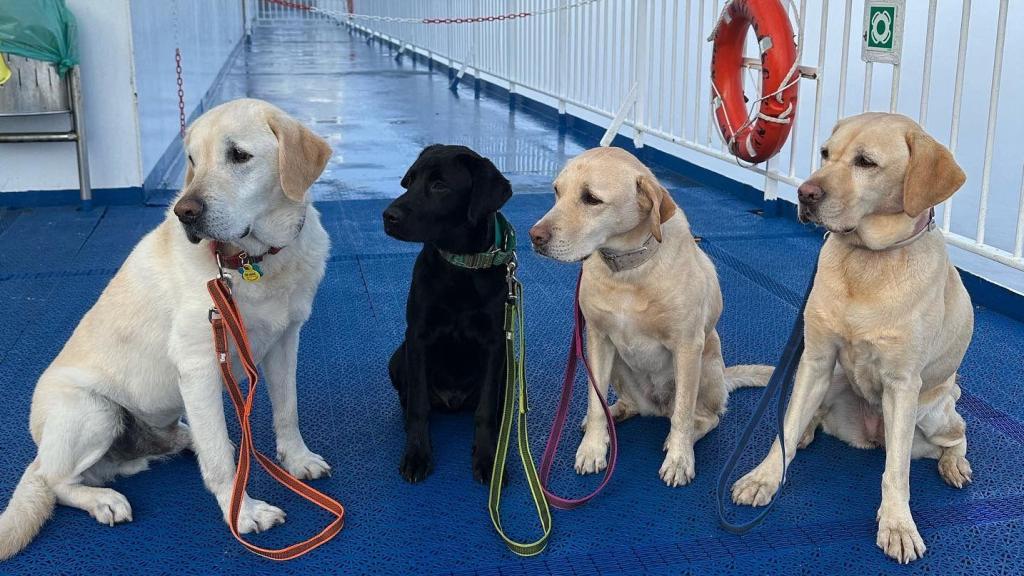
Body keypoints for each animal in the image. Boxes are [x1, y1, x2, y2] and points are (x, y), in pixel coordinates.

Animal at [0, 98, 331, 557]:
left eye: (239, 155)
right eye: (192, 160)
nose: (184, 213)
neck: (253, 262)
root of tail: (42, 449)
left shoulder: (284, 341)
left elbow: (287, 410)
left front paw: (297, 460)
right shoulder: (199, 365)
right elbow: (220, 460)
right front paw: (242, 512)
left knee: (187, 439)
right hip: (94, 411)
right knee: (55, 481)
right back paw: (103, 500)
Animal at [382, 143, 516, 479]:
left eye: (440, 185)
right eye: (410, 180)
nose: (387, 216)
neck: (461, 266)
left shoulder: (496, 343)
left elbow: (485, 410)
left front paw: (488, 458)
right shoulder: (417, 336)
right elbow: (419, 406)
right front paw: (417, 454)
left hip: (508, 366)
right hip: (398, 356)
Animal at [532, 146, 765, 483]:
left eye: (591, 198)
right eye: (556, 192)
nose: (534, 236)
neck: (628, 270)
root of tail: (656, 409)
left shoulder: (687, 347)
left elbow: (683, 414)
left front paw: (679, 459)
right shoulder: (597, 339)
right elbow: (594, 401)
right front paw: (593, 447)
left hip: (707, 366)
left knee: (705, 417)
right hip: (618, 364)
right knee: (630, 405)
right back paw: (614, 418)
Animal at [733, 111, 970, 561]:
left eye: (866, 162)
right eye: (826, 153)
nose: (805, 194)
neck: (867, 260)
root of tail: (871, 436)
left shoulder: (902, 384)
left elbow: (897, 472)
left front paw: (897, 524)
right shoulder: (816, 359)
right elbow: (786, 428)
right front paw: (764, 478)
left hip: (933, 415)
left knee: (956, 436)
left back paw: (954, 465)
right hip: (830, 382)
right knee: (805, 419)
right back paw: (809, 432)